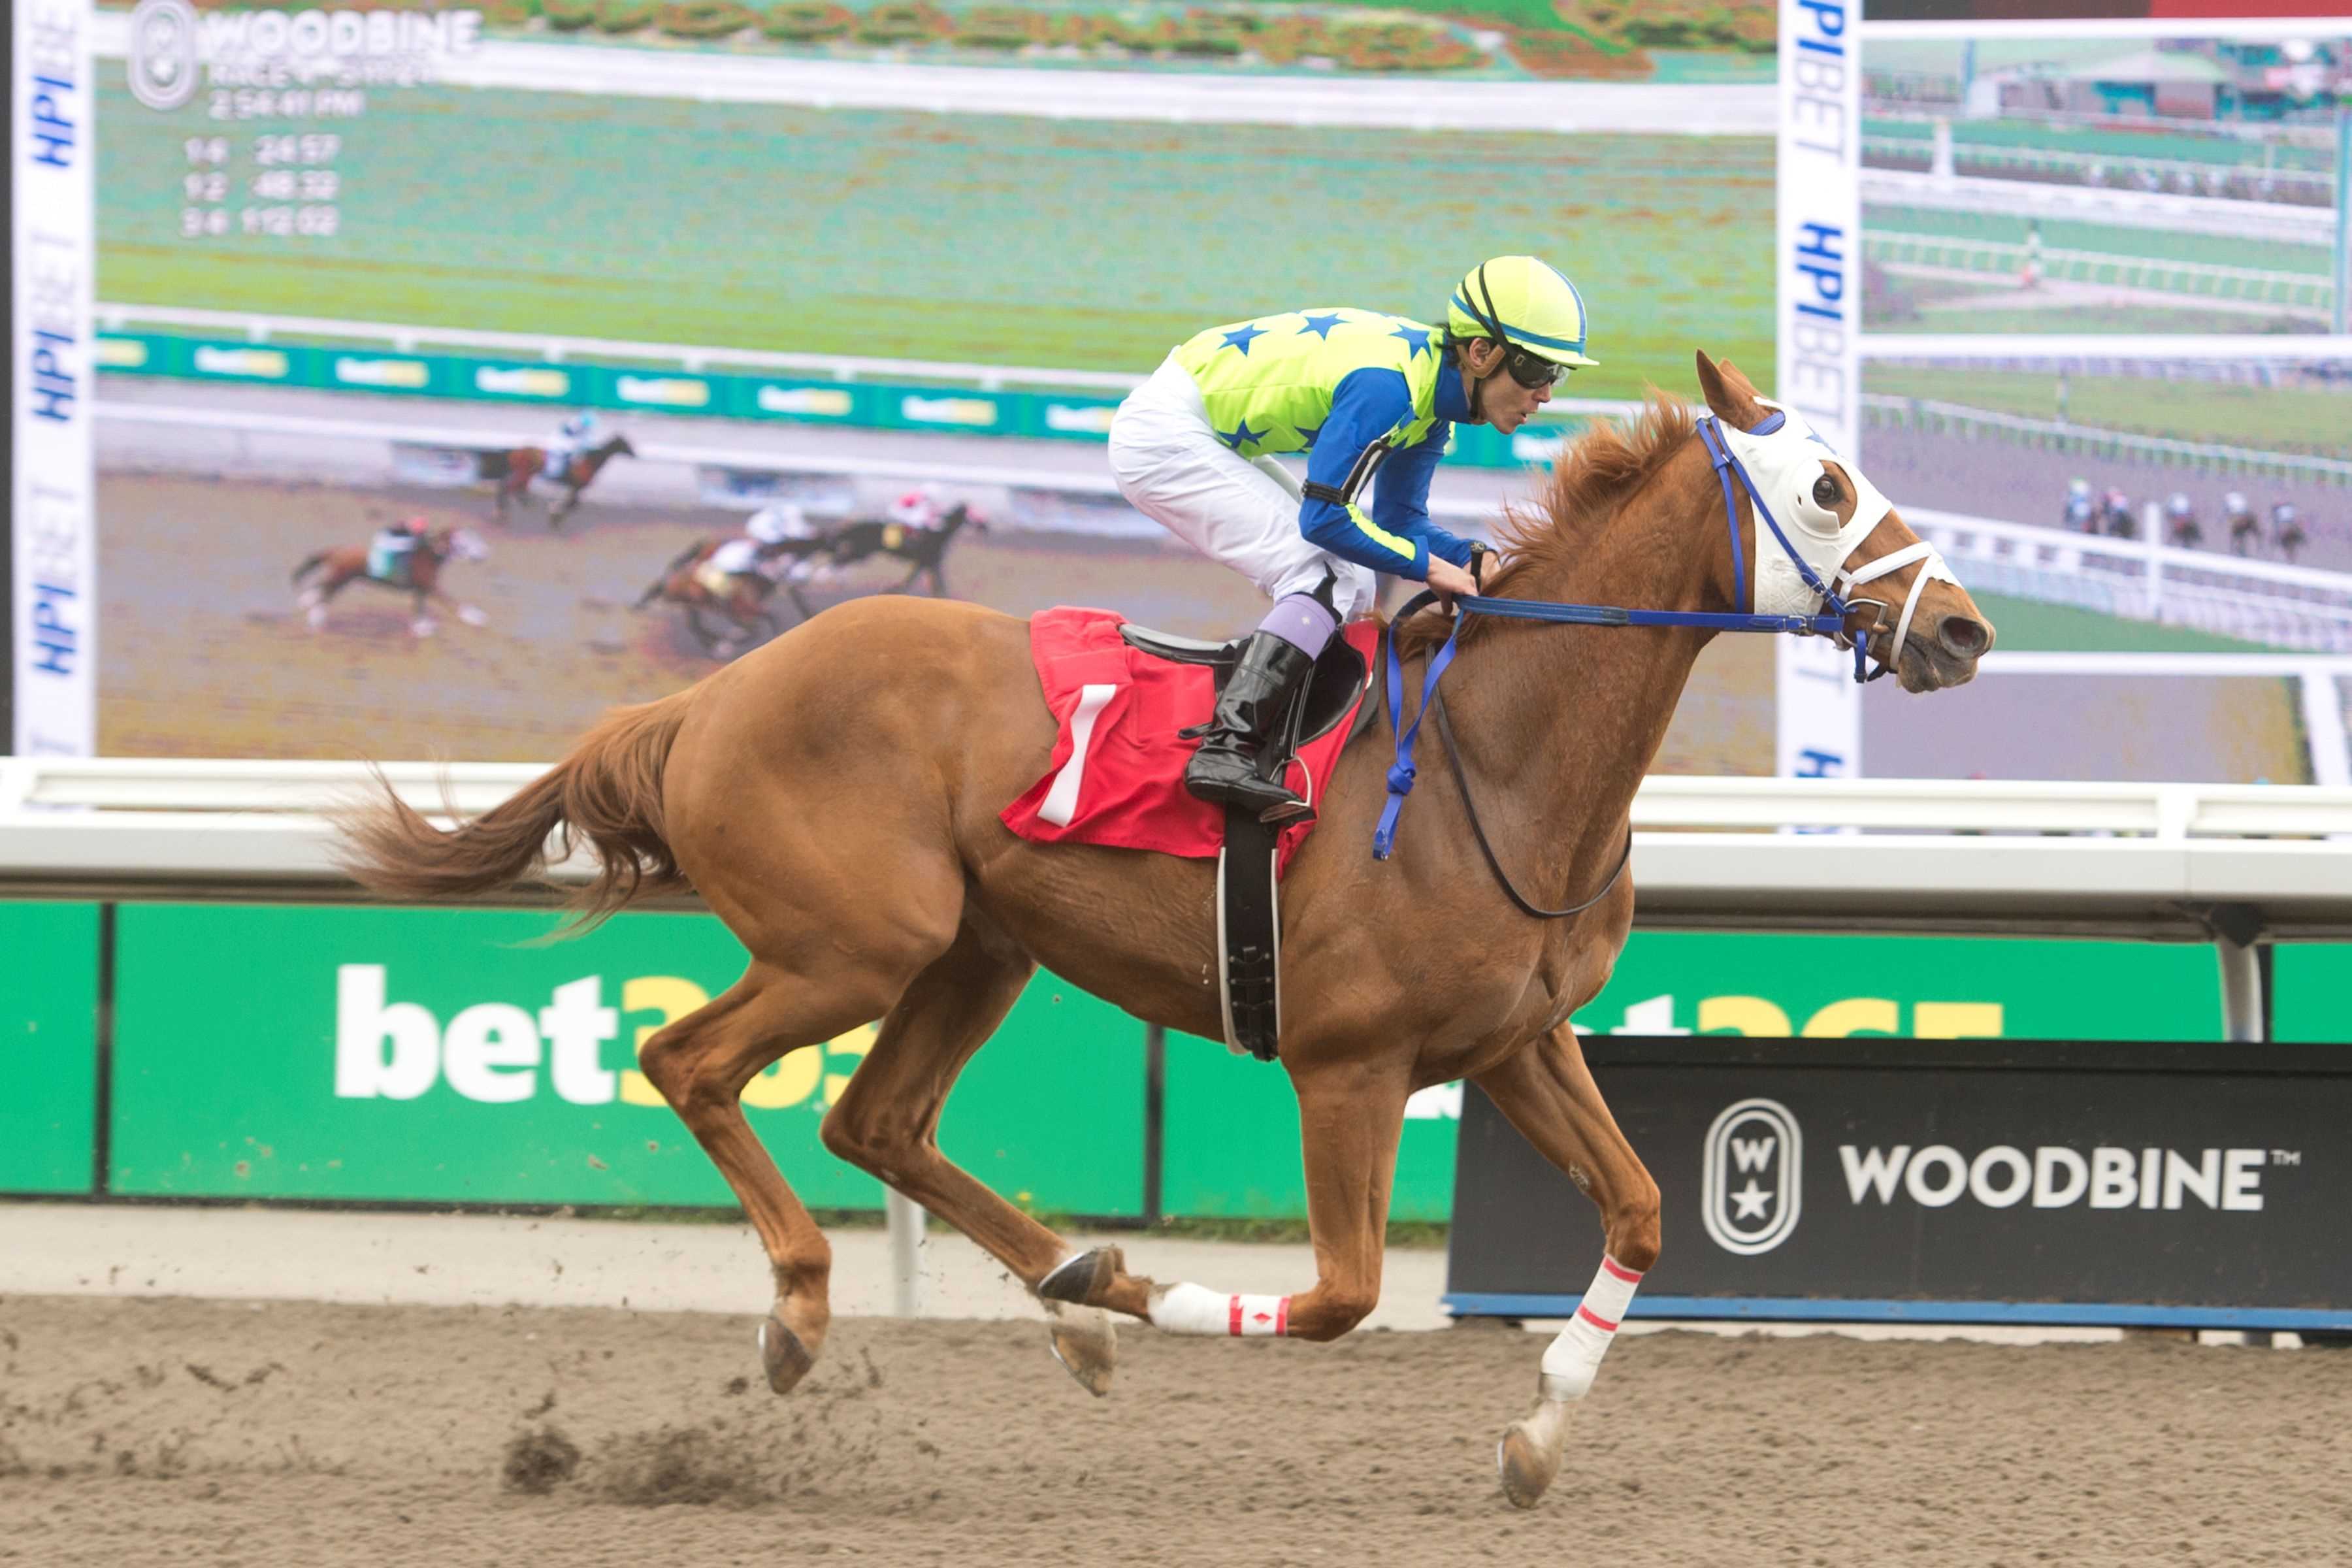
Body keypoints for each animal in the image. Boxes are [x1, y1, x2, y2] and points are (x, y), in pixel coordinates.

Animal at [341, 355, 1994, 1504]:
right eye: (1828, 488)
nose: (1965, 628)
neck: (1500, 758)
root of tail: (709, 691)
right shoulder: (1347, 1063)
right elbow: (1336, 1296)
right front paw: (1157, 1294)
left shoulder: (1516, 1038)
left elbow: (1644, 1209)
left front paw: (1531, 1438)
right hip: (854, 942)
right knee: (690, 1061)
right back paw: (817, 1308)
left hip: (975, 947)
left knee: (876, 1120)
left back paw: (1068, 1294)